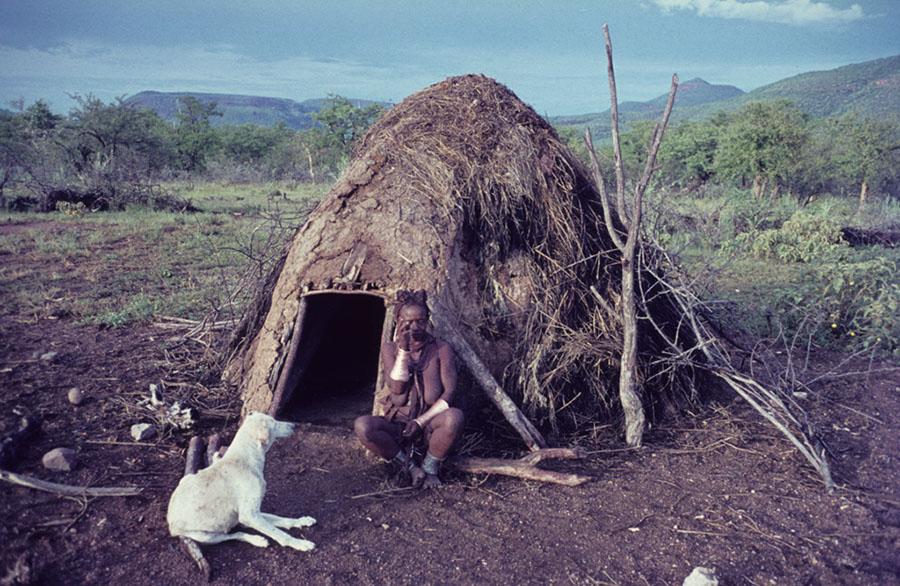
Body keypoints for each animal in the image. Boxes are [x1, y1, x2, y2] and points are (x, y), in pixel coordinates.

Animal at [167, 408, 318, 548]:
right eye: (275, 424)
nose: (293, 425)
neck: (246, 457)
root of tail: (170, 522)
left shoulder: (253, 512)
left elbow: (280, 520)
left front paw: (301, 521)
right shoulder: (249, 515)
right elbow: (278, 533)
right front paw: (299, 543)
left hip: (188, 479)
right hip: (205, 536)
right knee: (235, 535)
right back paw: (257, 540)